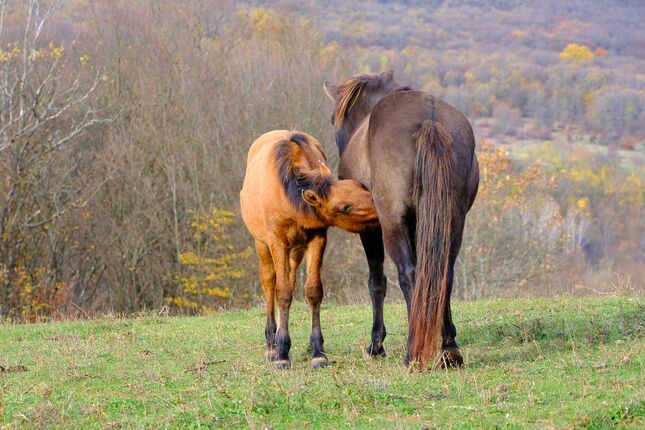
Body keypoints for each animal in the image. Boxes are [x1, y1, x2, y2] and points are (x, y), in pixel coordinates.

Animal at [324, 72, 480, 368]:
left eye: (333, 120)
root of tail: (429, 121)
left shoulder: (371, 228)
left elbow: (377, 282)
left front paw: (376, 344)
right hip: (452, 222)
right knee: (443, 273)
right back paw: (449, 349)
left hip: (393, 223)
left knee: (410, 274)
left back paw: (413, 353)